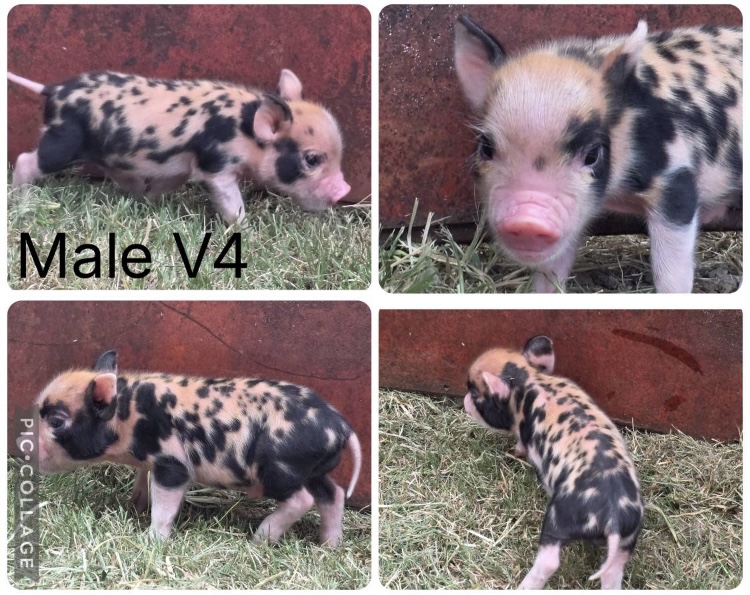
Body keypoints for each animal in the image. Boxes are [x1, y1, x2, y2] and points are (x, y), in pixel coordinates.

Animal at [8, 69, 351, 224]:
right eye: (312, 159)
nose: (344, 190)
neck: (243, 128)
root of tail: (53, 90)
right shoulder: (216, 164)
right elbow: (229, 199)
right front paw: (244, 228)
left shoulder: (184, 165)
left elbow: (170, 181)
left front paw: (152, 201)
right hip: (62, 143)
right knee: (26, 159)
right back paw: (23, 200)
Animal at [34, 349, 362, 546]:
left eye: (57, 421)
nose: (25, 445)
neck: (129, 416)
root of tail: (340, 427)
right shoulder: (151, 461)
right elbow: (143, 480)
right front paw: (134, 505)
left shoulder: (173, 463)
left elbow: (165, 505)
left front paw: (152, 540)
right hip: (313, 469)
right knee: (332, 495)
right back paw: (328, 546)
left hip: (280, 468)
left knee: (303, 499)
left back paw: (258, 540)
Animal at [454, 15, 742, 292]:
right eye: (486, 147)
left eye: (592, 154)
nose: (527, 221)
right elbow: (551, 273)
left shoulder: (676, 183)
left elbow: (671, 273)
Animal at [464, 336, 643, 589]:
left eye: (475, 393)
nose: (465, 400)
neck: (529, 382)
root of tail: (613, 519)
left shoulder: (525, 435)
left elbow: (520, 445)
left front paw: (512, 453)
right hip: (628, 539)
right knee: (613, 572)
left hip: (558, 518)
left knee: (549, 561)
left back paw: (522, 587)